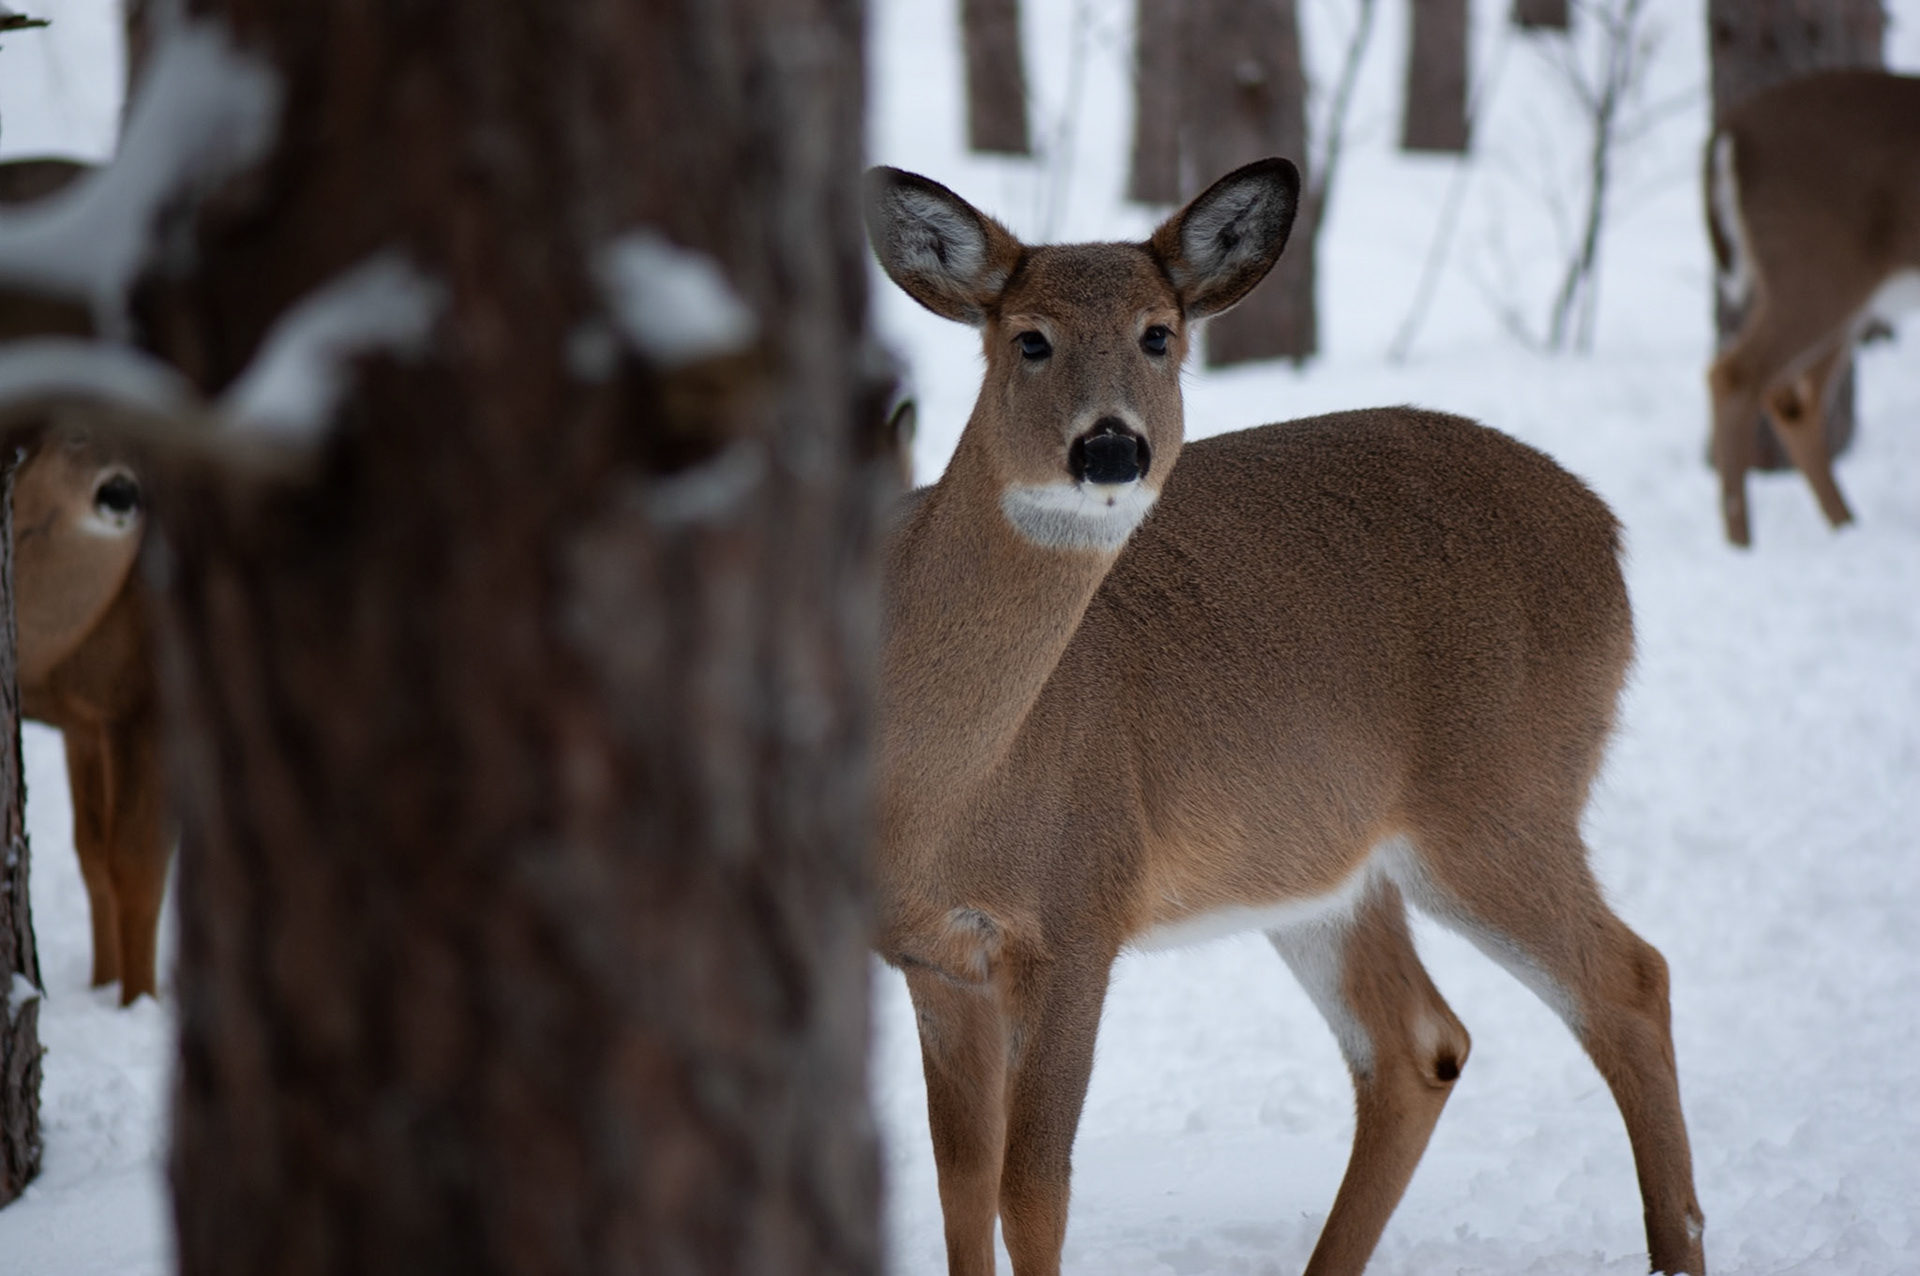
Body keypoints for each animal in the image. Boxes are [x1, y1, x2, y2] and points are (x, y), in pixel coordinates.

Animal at [866, 159, 1704, 1276]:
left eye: (1159, 334)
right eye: (1029, 337)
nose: (1111, 449)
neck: (944, 790)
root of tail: (1607, 532)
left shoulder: (1083, 911)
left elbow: (1031, 1187)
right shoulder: (931, 954)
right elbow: (961, 1184)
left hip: (1503, 800)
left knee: (1631, 980)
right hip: (1323, 865)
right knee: (1421, 1043)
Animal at [1705, 68, 1920, 547]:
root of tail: (1731, 129)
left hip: (1836, 294)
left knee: (1795, 397)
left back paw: (1847, 527)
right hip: (1817, 267)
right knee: (1735, 374)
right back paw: (1742, 544)